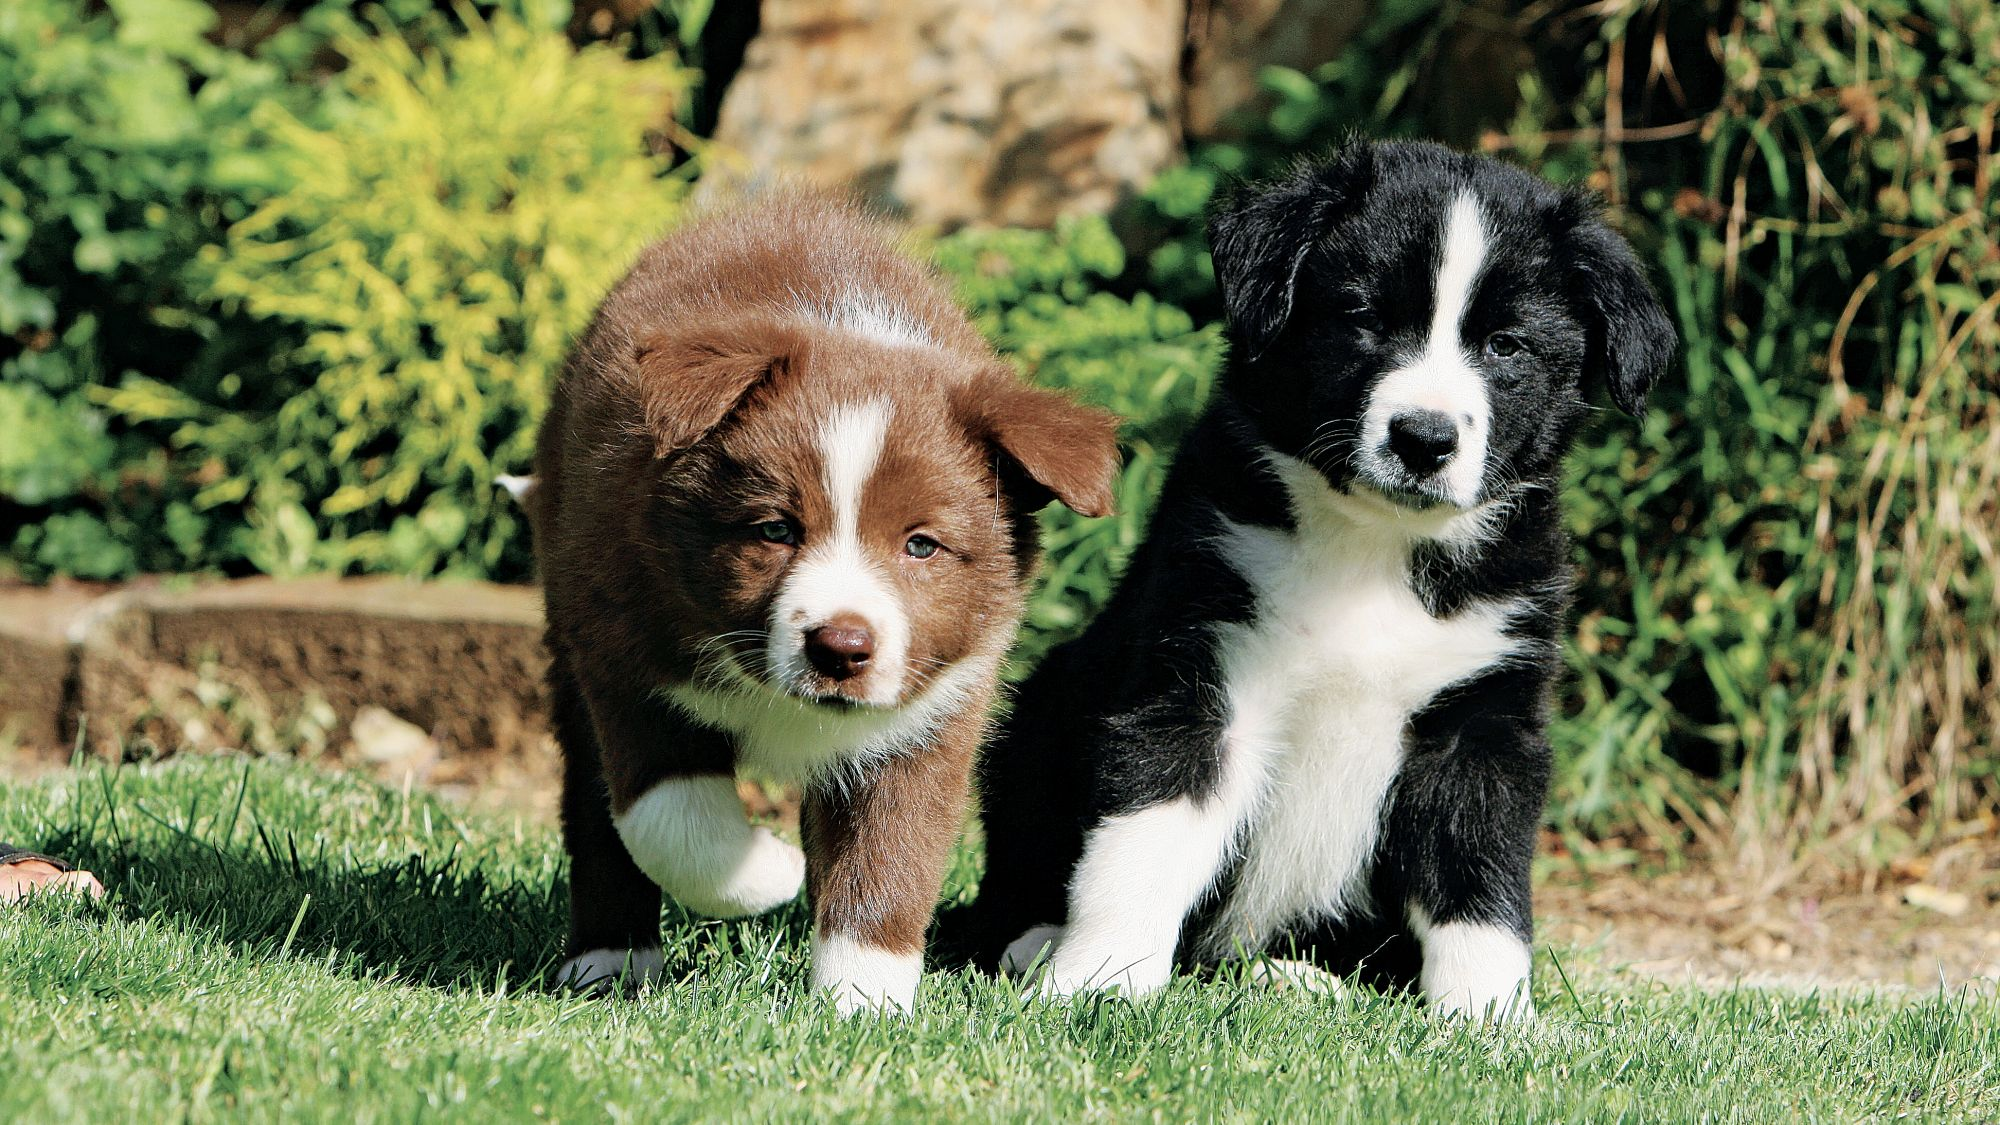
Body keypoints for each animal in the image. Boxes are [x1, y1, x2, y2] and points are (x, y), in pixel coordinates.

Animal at [532, 197, 1128, 1012]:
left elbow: (891, 853)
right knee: (597, 814)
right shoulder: (623, 650)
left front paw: (862, 1004)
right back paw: (608, 959)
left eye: (921, 546)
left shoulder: (930, 711)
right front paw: (765, 872)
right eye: (776, 529)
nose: (841, 648)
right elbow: (669, 818)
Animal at [968, 140, 1672, 1016]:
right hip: (1042, 708)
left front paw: (1490, 1016)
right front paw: (1101, 977)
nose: (1424, 438)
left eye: (1506, 346)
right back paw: (1035, 942)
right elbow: (1146, 837)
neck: (1374, 543)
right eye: (1362, 317)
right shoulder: (1199, 674)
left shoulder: (1482, 716)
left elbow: (1480, 881)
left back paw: (1297, 974)